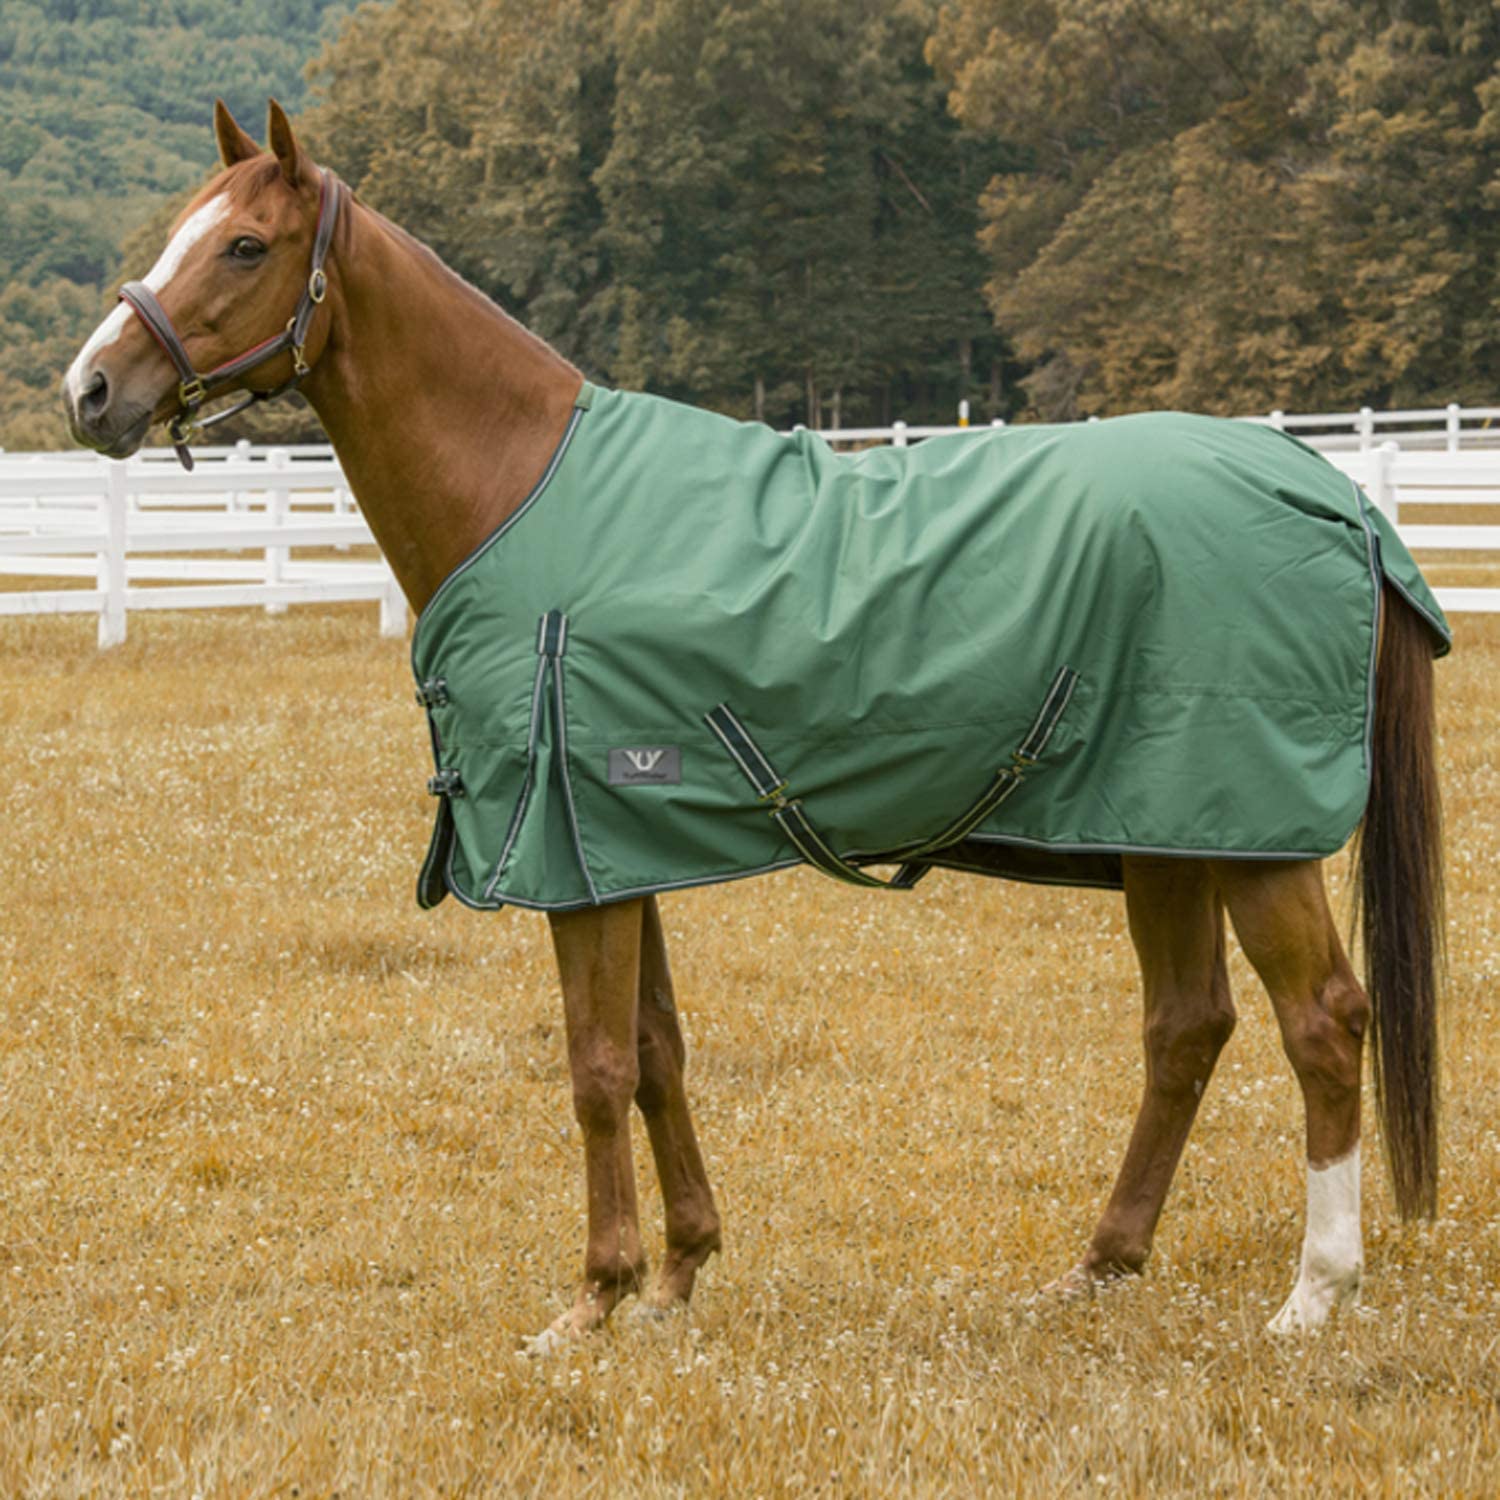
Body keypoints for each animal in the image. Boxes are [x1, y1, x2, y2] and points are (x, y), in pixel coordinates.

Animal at [62, 101, 1446, 1351]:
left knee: (1323, 1023)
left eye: (244, 247)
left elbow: (595, 1067)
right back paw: (1098, 1269)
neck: (522, 486)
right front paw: (677, 1275)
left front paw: (593, 1298)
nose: (91, 391)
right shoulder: (615, 847)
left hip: (1254, 845)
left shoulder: (571, 857)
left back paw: (1314, 1294)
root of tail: (1329, 497)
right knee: (1186, 1029)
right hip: (1167, 838)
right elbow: (658, 1051)